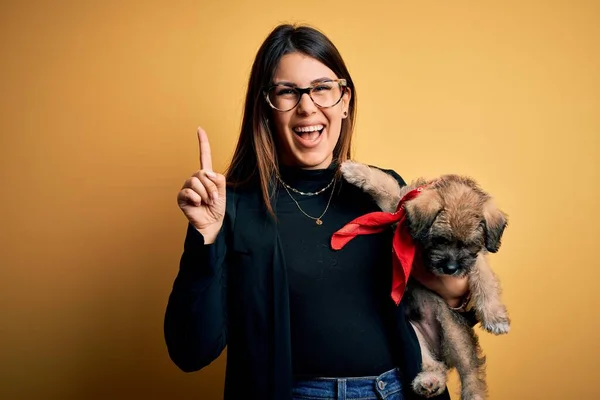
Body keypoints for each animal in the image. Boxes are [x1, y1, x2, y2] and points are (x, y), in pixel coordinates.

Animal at [340, 162, 508, 400]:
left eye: (468, 245)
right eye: (440, 240)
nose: (450, 269)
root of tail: (440, 352)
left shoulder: (476, 259)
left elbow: (483, 278)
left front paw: (494, 315)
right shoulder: (397, 211)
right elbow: (385, 183)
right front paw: (356, 170)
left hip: (453, 331)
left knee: (470, 370)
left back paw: (472, 393)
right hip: (416, 336)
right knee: (432, 364)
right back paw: (429, 381)